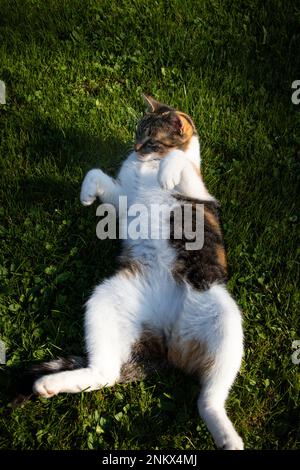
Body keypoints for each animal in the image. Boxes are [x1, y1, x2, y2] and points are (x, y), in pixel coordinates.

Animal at [31, 96, 245, 452]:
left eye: (150, 140)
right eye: (136, 133)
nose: (134, 149)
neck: (147, 166)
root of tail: (167, 338)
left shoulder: (194, 191)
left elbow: (178, 160)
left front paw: (167, 170)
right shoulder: (122, 200)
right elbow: (96, 173)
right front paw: (86, 194)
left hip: (225, 316)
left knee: (209, 399)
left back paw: (228, 437)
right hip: (106, 298)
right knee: (106, 373)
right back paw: (49, 384)